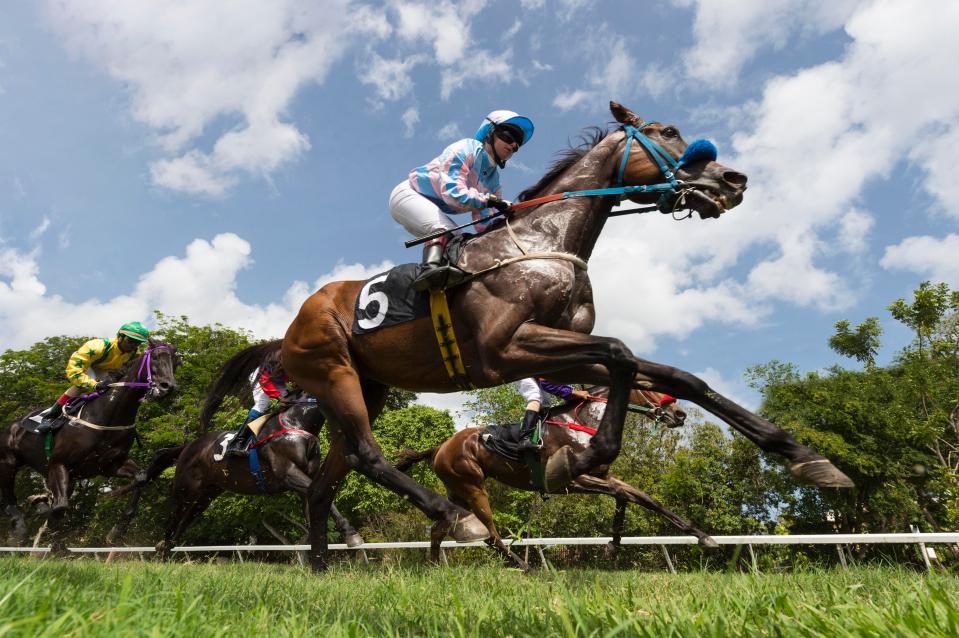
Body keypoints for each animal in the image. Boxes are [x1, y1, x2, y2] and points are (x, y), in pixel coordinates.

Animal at [0, 342, 178, 552]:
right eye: (156, 357)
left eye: (176, 361)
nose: (168, 387)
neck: (107, 415)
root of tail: (14, 425)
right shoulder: (58, 463)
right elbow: (60, 507)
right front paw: (58, 547)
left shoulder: (109, 465)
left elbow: (141, 478)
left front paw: (117, 532)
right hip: (9, 463)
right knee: (10, 499)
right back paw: (20, 527)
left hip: (67, 478)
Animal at [129, 344, 362, 560]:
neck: (296, 423)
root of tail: (188, 447)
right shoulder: (288, 472)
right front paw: (351, 535)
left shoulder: (305, 477)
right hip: (186, 490)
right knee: (173, 520)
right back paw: (161, 553)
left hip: (207, 494)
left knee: (184, 522)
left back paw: (166, 551)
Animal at [394, 388, 716, 572]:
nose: (680, 414)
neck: (586, 422)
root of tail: (439, 447)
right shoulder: (572, 481)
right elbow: (621, 494)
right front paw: (613, 545)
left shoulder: (601, 475)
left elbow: (642, 498)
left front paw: (702, 536)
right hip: (473, 487)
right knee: (492, 534)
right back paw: (525, 566)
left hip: (456, 492)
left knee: (440, 528)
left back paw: (435, 568)